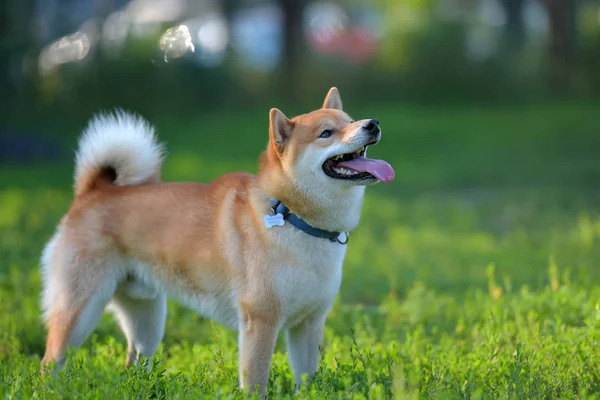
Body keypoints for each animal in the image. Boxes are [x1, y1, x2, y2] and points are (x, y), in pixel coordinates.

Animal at [38, 87, 394, 394]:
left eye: (349, 120)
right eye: (326, 133)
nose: (372, 123)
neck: (296, 218)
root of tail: (93, 192)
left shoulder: (309, 324)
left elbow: (307, 379)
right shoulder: (260, 322)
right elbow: (256, 383)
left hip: (147, 320)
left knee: (133, 364)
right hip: (79, 311)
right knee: (50, 362)